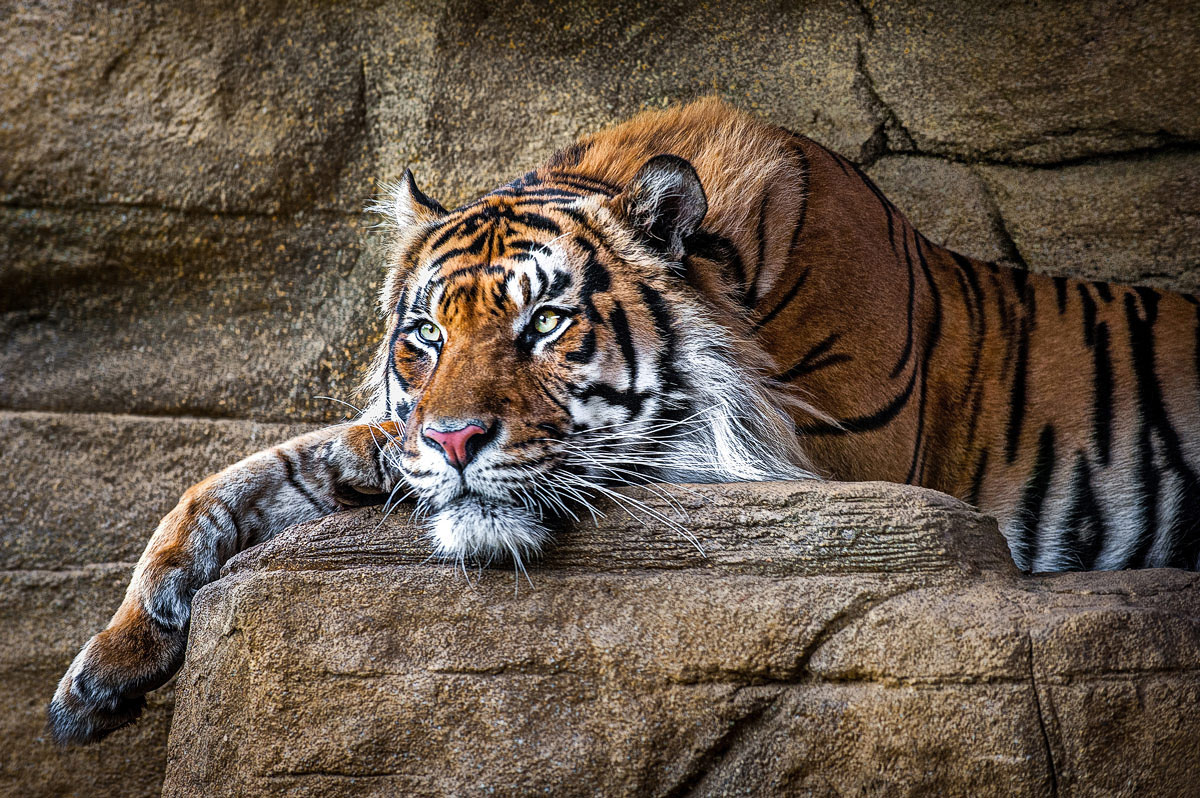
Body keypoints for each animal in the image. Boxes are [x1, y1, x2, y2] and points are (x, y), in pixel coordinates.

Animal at [49, 97, 1200, 745]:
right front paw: (99, 674)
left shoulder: (821, 469)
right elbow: (245, 476)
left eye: (547, 322)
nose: (454, 441)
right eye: (424, 334)